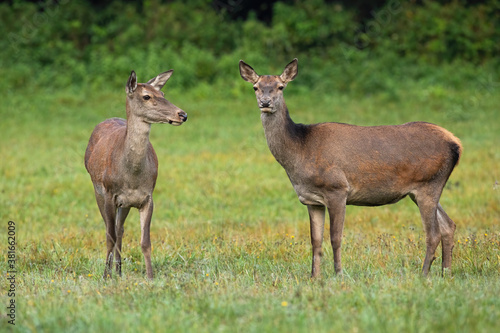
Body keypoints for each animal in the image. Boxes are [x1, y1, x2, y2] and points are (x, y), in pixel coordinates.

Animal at [86, 70, 188, 278]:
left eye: (163, 94)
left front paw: (150, 276)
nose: (182, 114)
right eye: (146, 96)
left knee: (120, 229)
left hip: (125, 203)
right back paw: (112, 271)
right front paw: (105, 276)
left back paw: (119, 271)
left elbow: (145, 241)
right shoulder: (109, 194)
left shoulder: (147, 198)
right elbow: (109, 236)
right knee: (110, 230)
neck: (131, 177)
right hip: (97, 190)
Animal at [240, 58, 462, 276]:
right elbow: (315, 241)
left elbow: (335, 237)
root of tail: (456, 143)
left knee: (433, 233)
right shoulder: (311, 199)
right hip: (422, 189)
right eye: (256, 87)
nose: (265, 102)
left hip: (428, 183)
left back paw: (424, 275)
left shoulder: (337, 189)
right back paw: (446, 273)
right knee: (448, 225)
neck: (300, 149)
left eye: (280, 86)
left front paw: (338, 274)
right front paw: (314, 277)